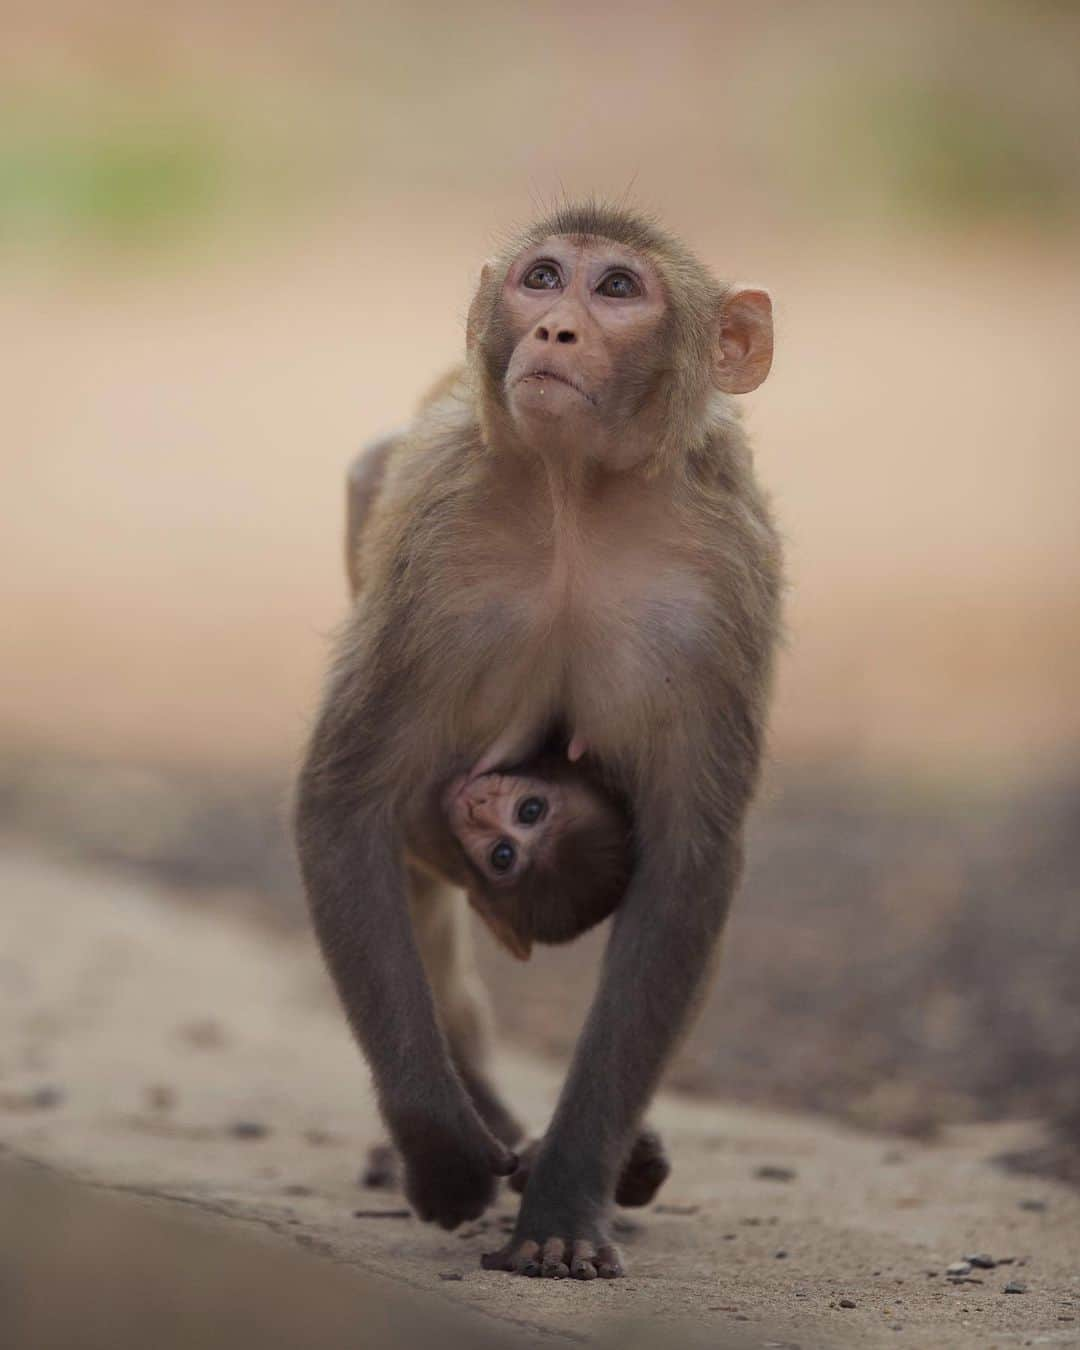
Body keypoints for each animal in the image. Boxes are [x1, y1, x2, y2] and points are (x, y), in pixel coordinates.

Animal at [297, 197, 783, 1274]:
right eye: (544, 277)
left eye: (618, 289)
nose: (556, 330)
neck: (577, 495)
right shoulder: (433, 551)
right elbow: (347, 802)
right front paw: (442, 1149)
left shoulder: (722, 582)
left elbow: (690, 856)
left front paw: (567, 1192)